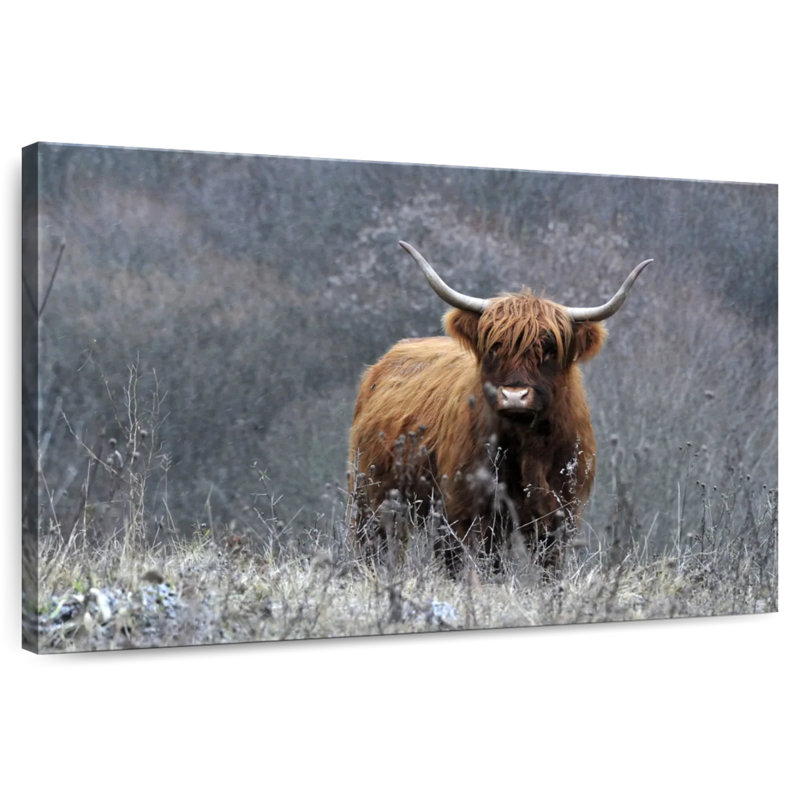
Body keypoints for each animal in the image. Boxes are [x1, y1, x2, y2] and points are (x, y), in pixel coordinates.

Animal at [347, 241, 653, 573]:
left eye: (549, 349)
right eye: (495, 347)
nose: (515, 395)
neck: (527, 446)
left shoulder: (561, 512)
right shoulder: (465, 509)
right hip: (369, 496)